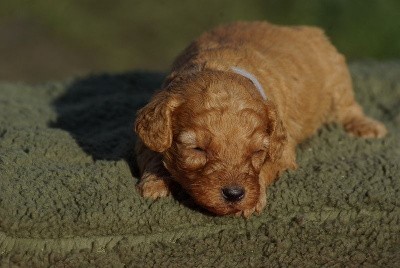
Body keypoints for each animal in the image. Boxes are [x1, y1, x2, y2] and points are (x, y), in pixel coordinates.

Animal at [134, 21, 388, 218]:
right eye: (197, 149)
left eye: (257, 151)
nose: (234, 194)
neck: (219, 64)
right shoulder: (147, 134)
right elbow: (152, 155)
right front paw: (155, 182)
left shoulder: (283, 147)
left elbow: (269, 165)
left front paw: (254, 200)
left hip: (336, 74)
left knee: (349, 107)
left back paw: (365, 126)